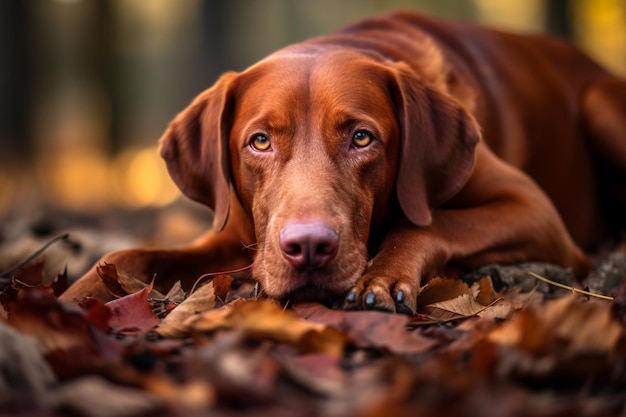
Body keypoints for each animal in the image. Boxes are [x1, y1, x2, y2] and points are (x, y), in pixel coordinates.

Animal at [61, 10, 624, 312]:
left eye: (361, 137)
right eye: (259, 142)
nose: (308, 247)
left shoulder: (535, 211)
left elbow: (427, 223)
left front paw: (383, 276)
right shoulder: (234, 235)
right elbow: (130, 256)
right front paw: (70, 297)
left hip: (604, 105)